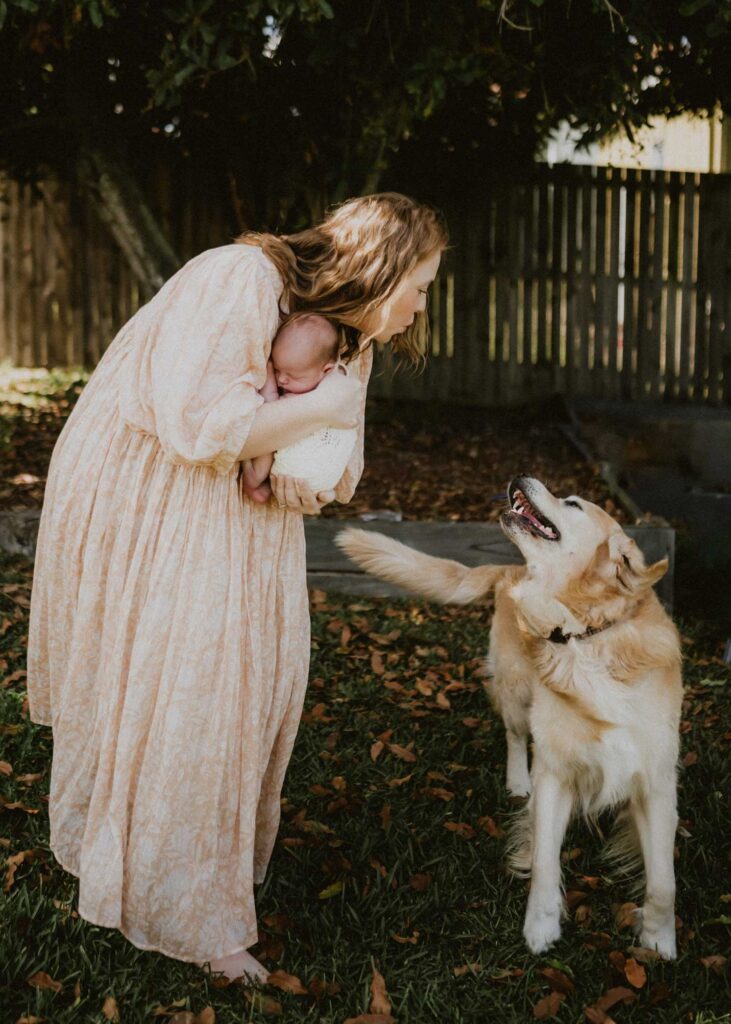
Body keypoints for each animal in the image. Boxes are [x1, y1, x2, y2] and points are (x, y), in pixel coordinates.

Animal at [333, 475, 675, 954]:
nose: (521, 478)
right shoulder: (555, 772)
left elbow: (663, 882)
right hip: (515, 692)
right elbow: (546, 861)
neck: (586, 637)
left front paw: (660, 941)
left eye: (573, 503)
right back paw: (517, 781)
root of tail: (510, 571)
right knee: (515, 737)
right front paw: (540, 928)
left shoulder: (657, 780)